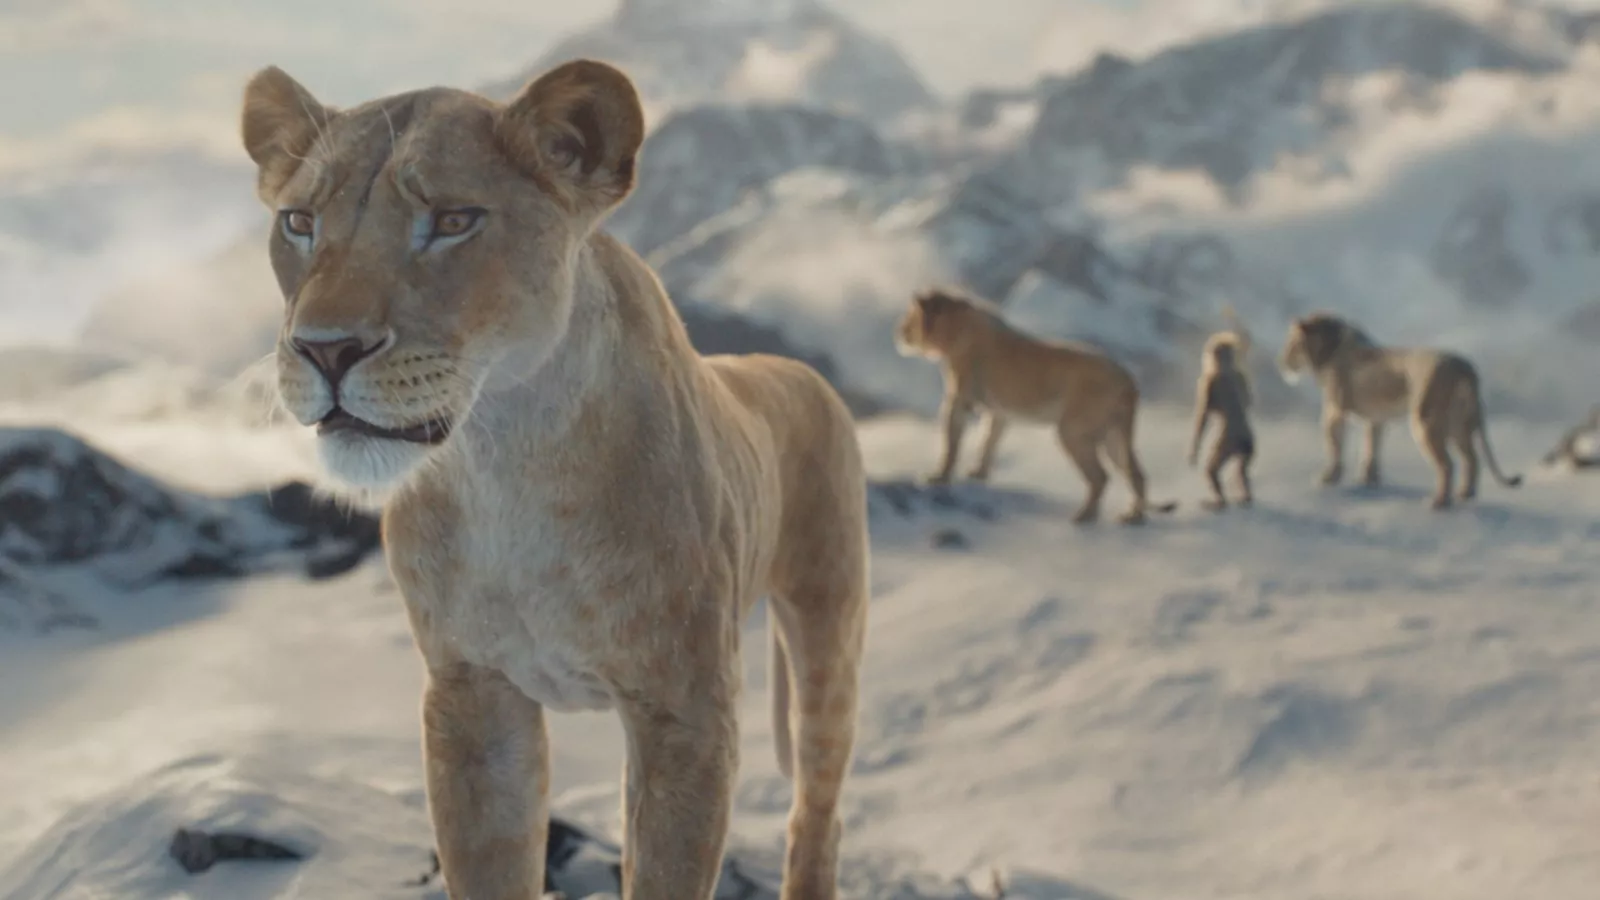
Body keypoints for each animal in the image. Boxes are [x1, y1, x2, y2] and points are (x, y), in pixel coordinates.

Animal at [241, 59, 869, 900]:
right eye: (300, 222)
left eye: (453, 221)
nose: (324, 349)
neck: (507, 462)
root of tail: (800, 372)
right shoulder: (471, 697)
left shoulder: (686, 713)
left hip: (829, 630)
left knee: (818, 813)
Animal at [894, 287, 1176, 525]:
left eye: (909, 316)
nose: (899, 333)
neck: (955, 329)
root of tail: (1129, 381)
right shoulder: (998, 412)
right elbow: (989, 441)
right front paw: (978, 474)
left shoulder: (959, 401)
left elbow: (952, 443)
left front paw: (938, 477)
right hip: (1113, 434)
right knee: (1136, 474)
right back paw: (1132, 516)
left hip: (1073, 431)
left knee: (1100, 477)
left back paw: (1083, 517)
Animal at [1188, 306, 1256, 510]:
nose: (1206, 353)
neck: (1225, 368)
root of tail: (1243, 440)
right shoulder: (1240, 375)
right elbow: (1248, 400)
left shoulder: (1208, 382)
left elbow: (1202, 415)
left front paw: (1193, 452)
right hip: (1248, 447)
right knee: (1242, 470)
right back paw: (1245, 496)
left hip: (1227, 443)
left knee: (1212, 469)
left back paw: (1219, 502)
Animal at [1277, 311, 1523, 508]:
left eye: (1291, 344)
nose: (1281, 362)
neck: (1328, 348)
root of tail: (1465, 366)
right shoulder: (1375, 420)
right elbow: (1371, 448)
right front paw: (1368, 481)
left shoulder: (1334, 412)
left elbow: (1334, 446)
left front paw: (1328, 478)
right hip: (1460, 425)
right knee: (1472, 459)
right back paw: (1465, 494)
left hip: (1427, 422)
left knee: (1447, 465)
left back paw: (1438, 502)